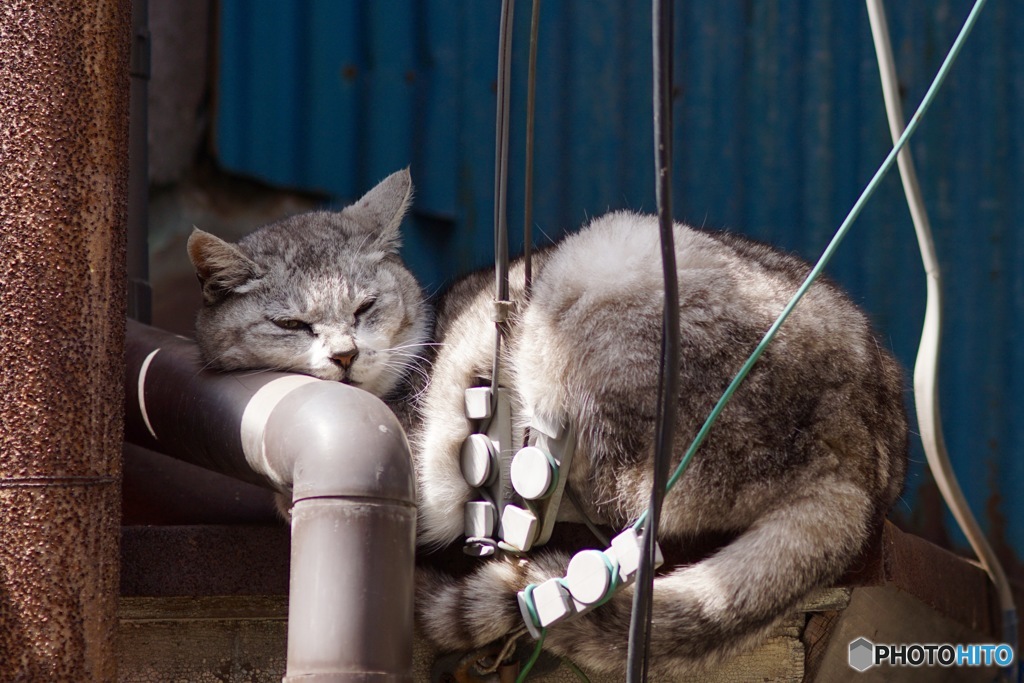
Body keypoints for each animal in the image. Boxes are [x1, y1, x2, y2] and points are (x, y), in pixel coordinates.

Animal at [184, 169, 905, 679]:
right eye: (290, 324)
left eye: (364, 308)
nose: (343, 356)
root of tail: (856, 442)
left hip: (603, 269)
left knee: (635, 524)